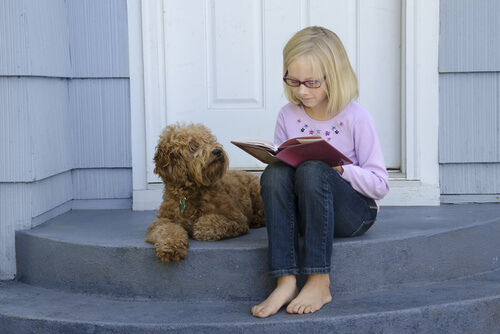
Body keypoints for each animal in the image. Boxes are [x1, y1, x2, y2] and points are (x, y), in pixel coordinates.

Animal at [146, 122, 266, 264]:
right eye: (192, 146)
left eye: (209, 141)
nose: (217, 151)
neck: (189, 193)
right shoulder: (163, 220)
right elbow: (167, 230)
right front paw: (170, 247)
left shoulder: (236, 218)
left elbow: (205, 222)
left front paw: (196, 228)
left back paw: (257, 220)